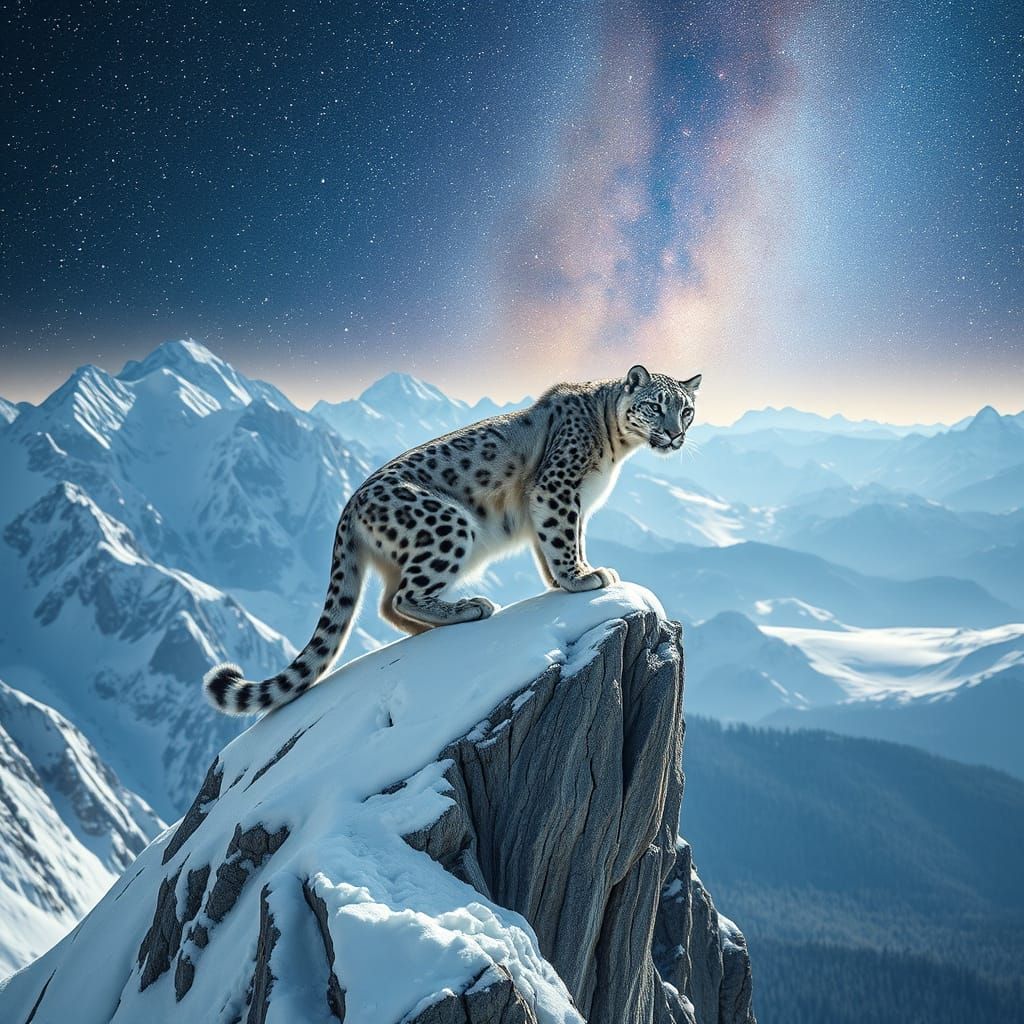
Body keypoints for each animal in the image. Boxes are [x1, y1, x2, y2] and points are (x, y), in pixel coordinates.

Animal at [204, 364, 701, 714]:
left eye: (686, 409)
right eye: (655, 405)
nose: (675, 434)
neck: (615, 449)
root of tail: (349, 506)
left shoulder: (571, 504)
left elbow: (561, 541)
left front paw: (567, 578)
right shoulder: (558, 489)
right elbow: (561, 538)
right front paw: (582, 578)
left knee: (387, 604)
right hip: (449, 524)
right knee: (403, 595)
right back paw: (468, 608)